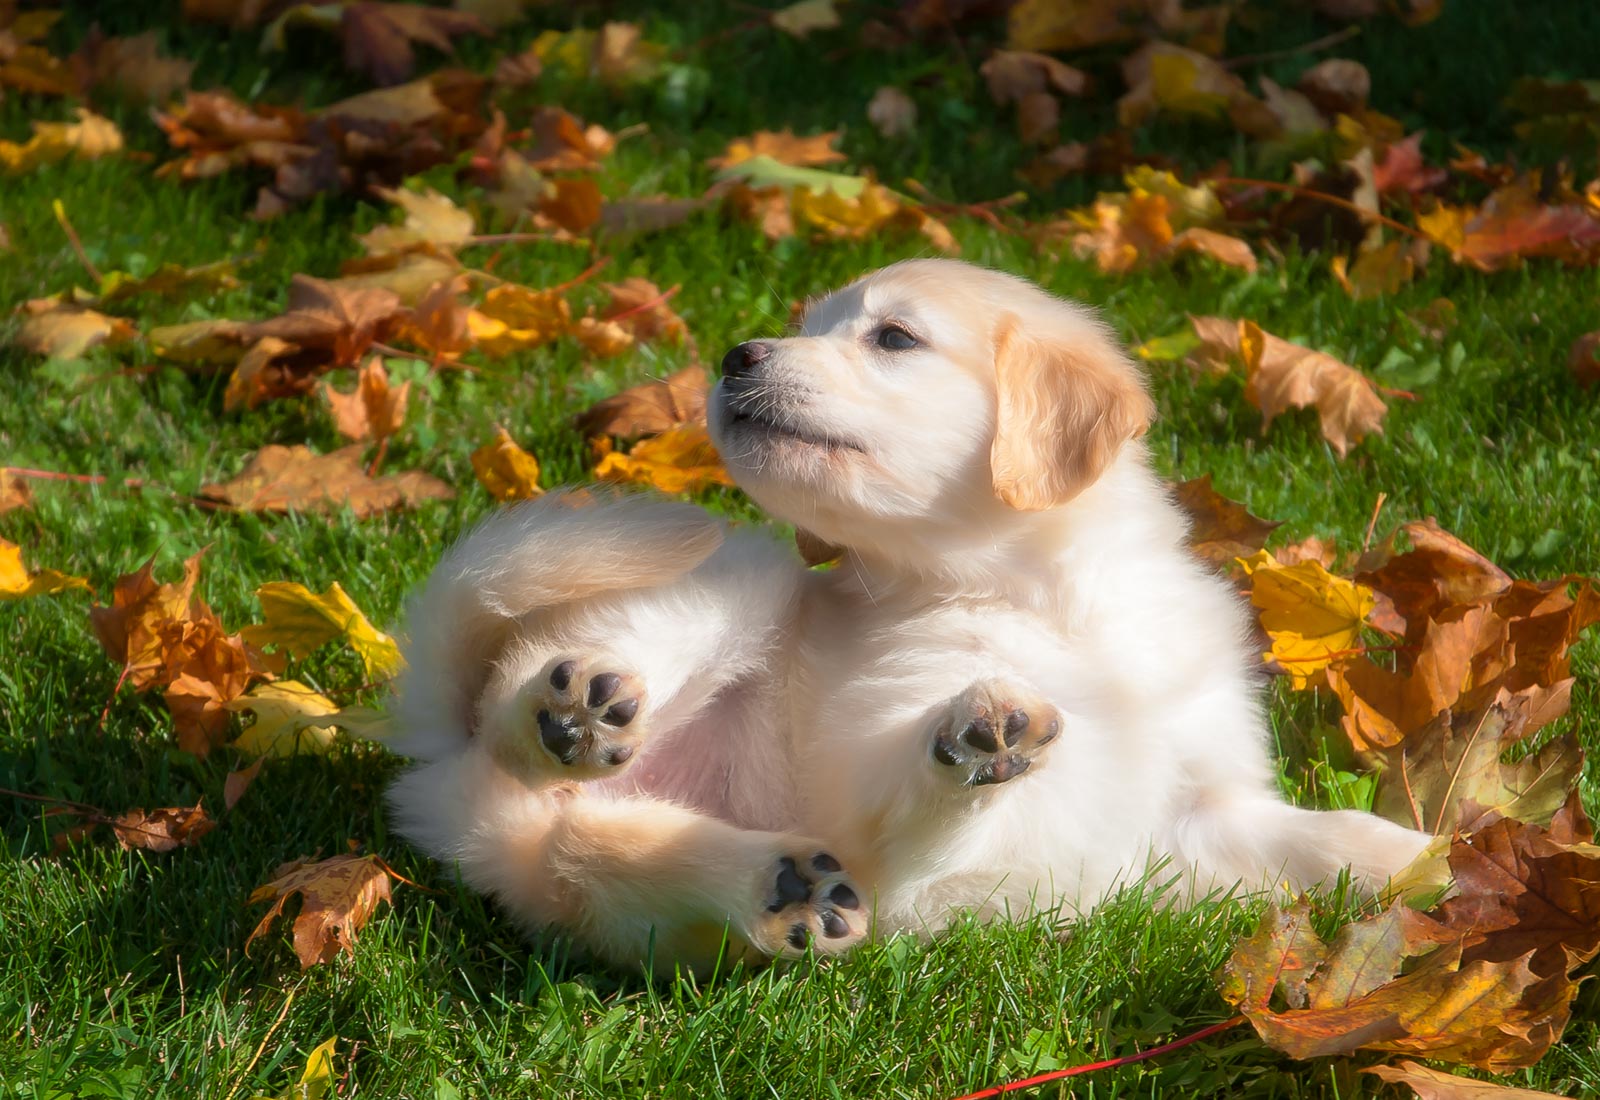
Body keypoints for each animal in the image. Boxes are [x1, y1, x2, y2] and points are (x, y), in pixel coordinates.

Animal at [384, 257, 1427, 972]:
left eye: (892, 338)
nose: (735, 355)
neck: (1045, 601)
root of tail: (443, 750)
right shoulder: (905, 853)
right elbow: (931, 806)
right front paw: (981, 731)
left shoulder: (1194, 815)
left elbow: (1315, 833)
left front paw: (1422, 861)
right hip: (740, 579)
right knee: (546, 704)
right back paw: (576, 710)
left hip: (607, 902)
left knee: (593, 854)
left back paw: (784, 889)